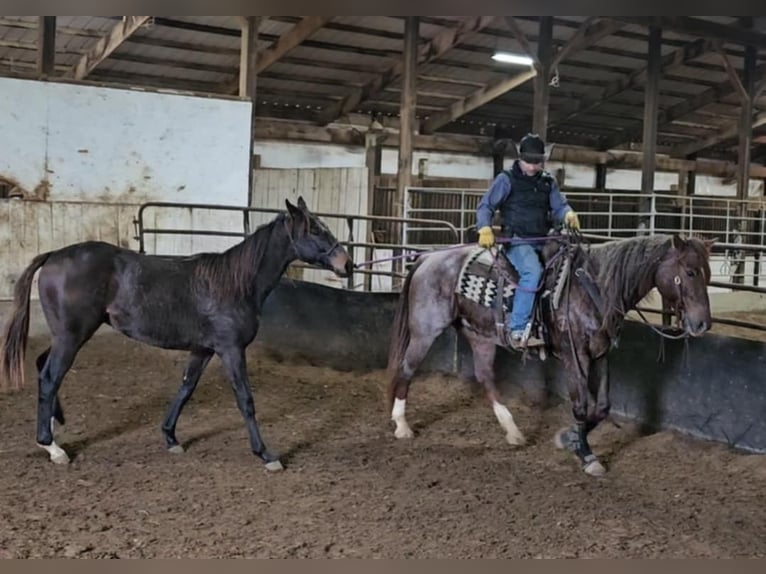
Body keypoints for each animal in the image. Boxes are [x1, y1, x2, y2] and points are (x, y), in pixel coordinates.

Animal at [1, 197, 353, 472]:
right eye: (315, 230)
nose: (346, 264)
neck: (234, 283)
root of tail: (54, 255)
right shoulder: (231, 349)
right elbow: (245, 399)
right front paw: (266, 455)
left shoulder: (204, 349)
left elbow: (186, 388)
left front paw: (171, 438)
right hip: (72, 336)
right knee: (50, 376)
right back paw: (52, 447)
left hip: (67, 335)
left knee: (43, 367)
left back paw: (55, 425)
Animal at [385, 233, 713, 476]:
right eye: (689, 272)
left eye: (708, 274)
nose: (702, 324)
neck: (593, 288)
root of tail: (428, 258)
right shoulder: (574, 355)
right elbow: (581, 406)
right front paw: (585, 454)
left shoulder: (601, 353)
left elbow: (602, 407)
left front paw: (570, 438)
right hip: (426, 329)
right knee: (407, 369)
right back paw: (402, 425)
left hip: (480, 335)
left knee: (485, 377)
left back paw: (513, 431)